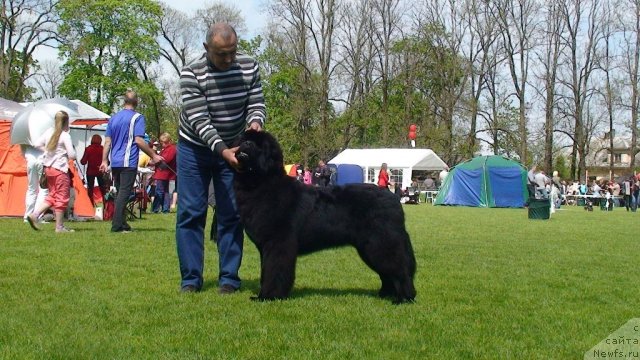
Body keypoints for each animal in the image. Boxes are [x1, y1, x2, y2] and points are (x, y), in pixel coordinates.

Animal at [234, 130, 416, 304]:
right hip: (370, 247)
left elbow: (274, 271)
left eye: (258, 145)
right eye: (243, 139)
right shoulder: (267, 246)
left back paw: (404, 298)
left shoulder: (278, 243)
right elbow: (266, 271)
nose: (246, 143)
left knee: (399, 269)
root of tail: (394, 199)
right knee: (388, 272)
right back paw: (386, 294)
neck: (261, 183)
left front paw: (268, 296)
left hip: (381, 243)